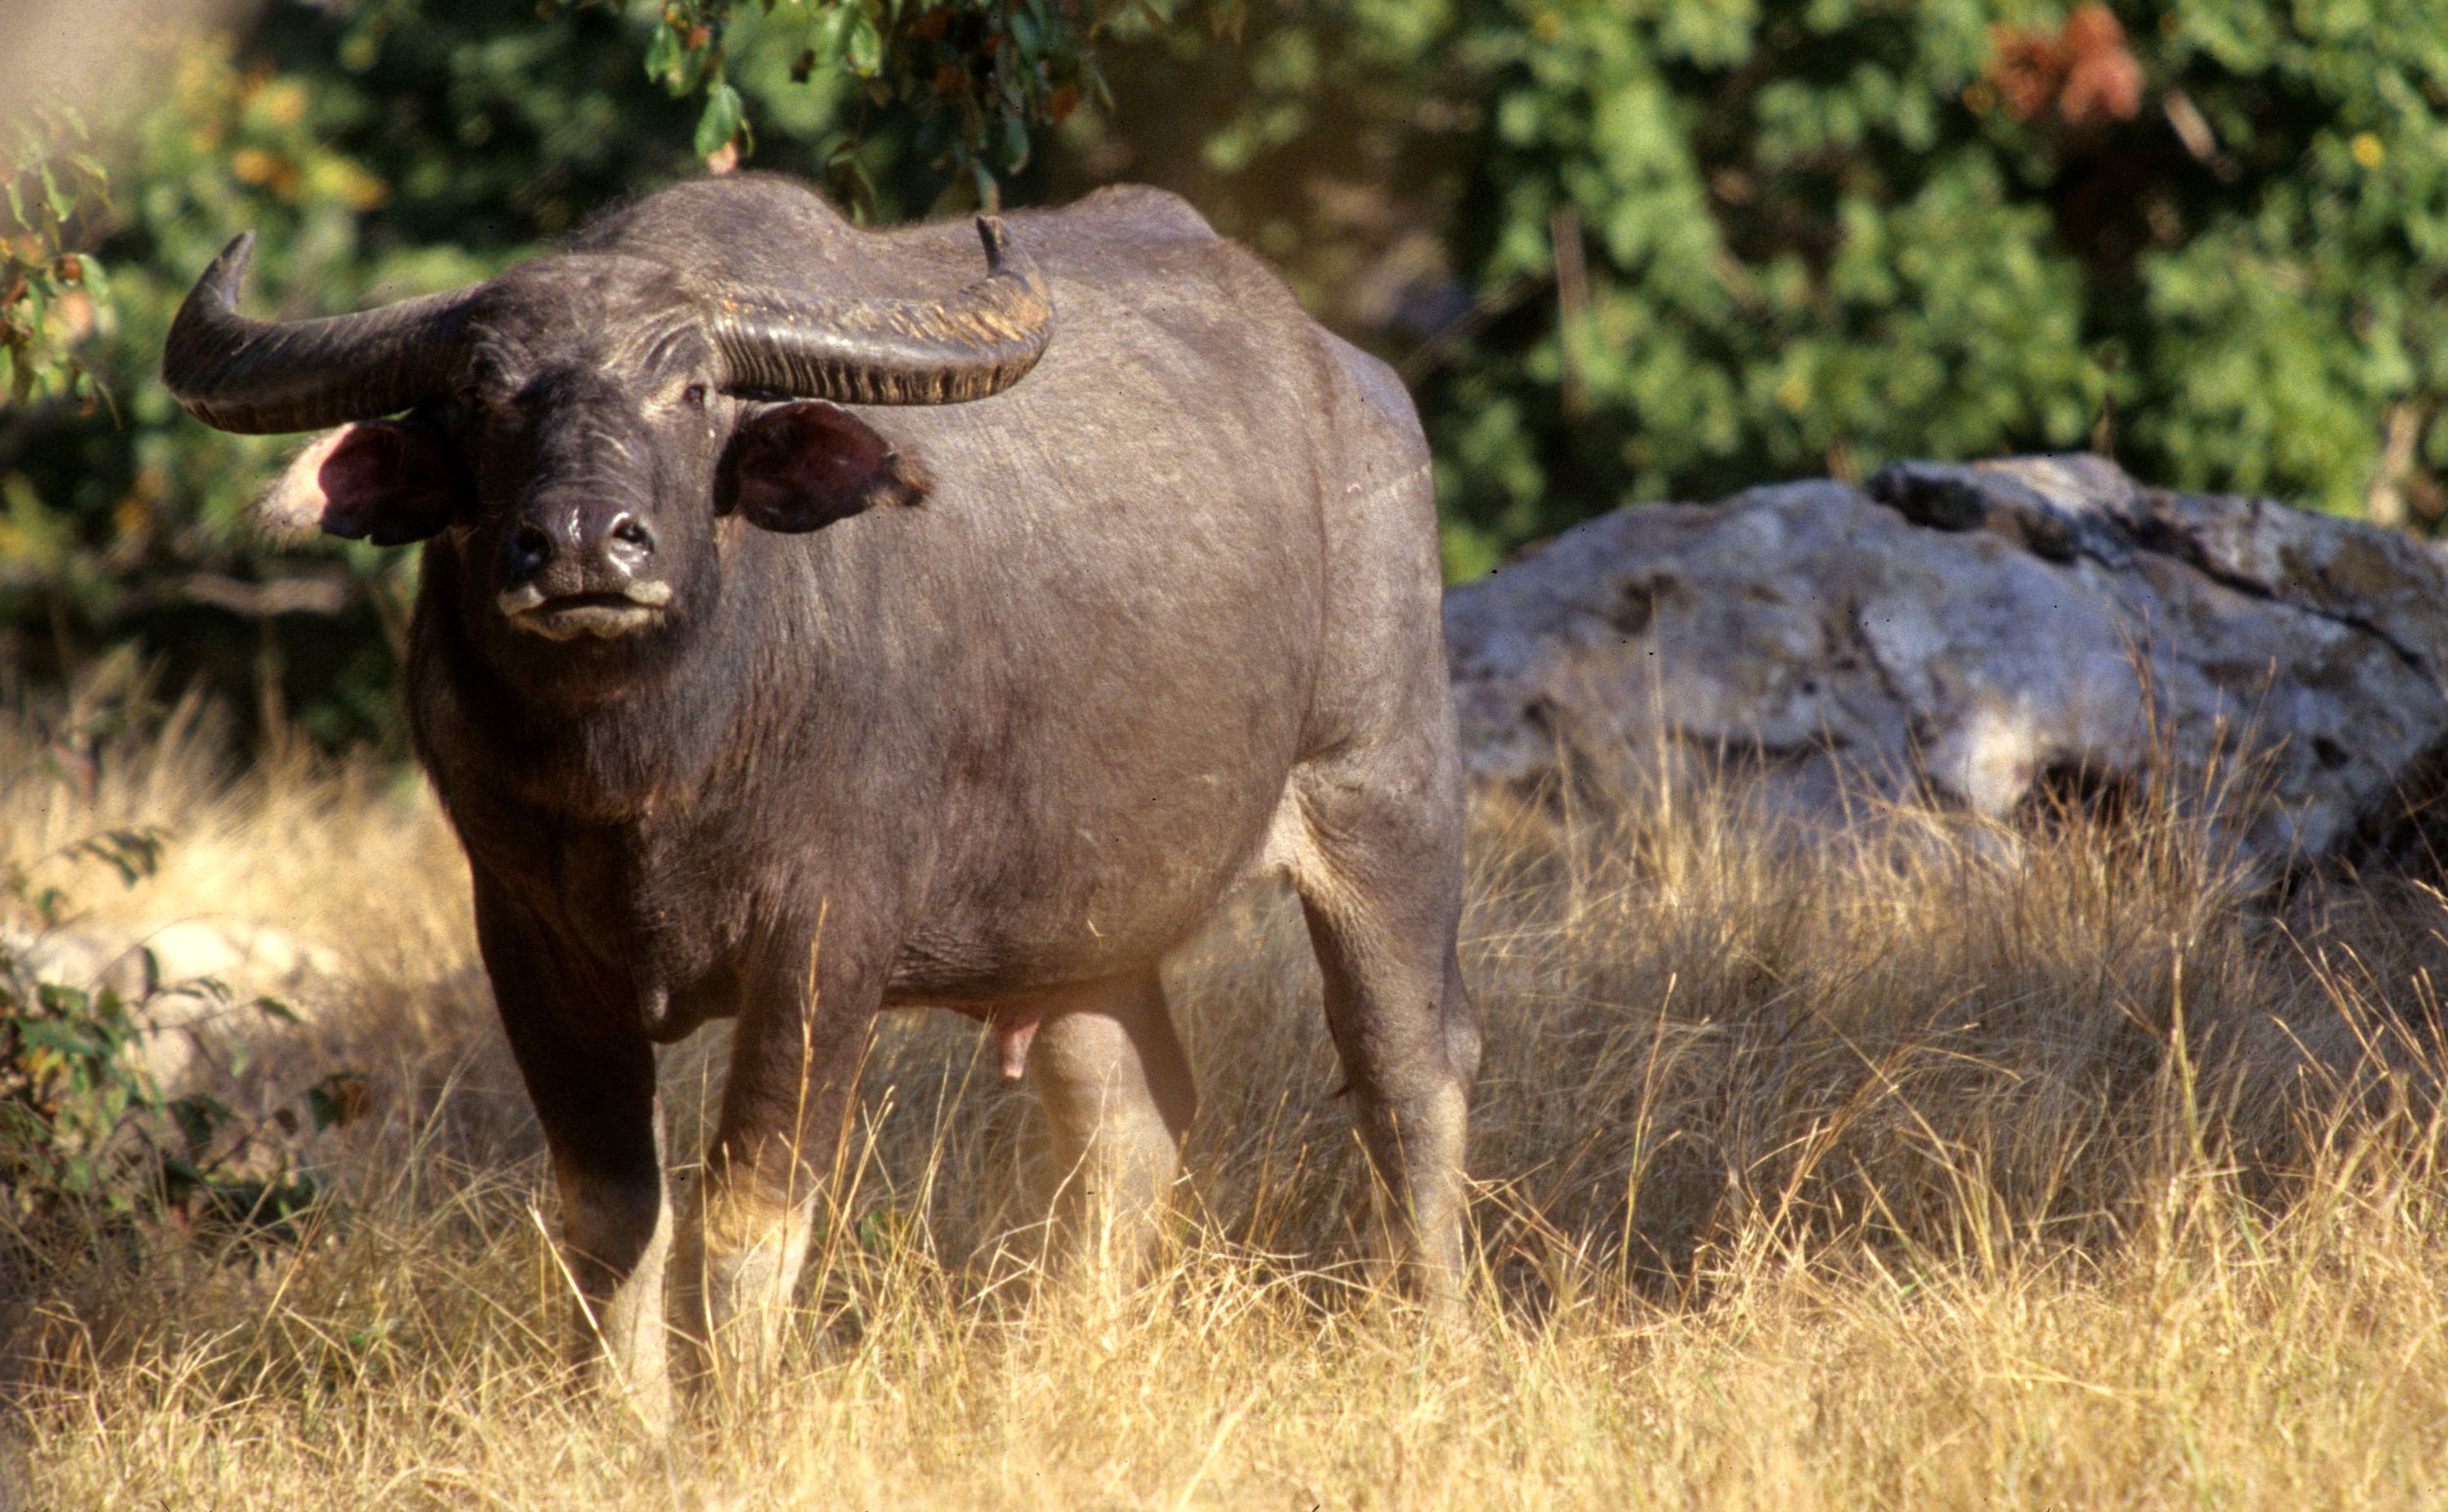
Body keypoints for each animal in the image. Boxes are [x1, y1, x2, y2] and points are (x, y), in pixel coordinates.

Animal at [163, 174, 1475, 1422]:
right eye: (483, 393)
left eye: (693, 387)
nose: (584, 544)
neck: (643, 773)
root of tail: (1351, 378)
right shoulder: (528, 939)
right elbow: (607, 1205)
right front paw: (624, 1418)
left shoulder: (823, 936)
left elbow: (751, 1204)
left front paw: (737, 1411)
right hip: (1088, 931)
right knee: (1127, 1117)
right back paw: (1060, 1353)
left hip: (1383, 796)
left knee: (1409, 1072)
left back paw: (1430, 1334)